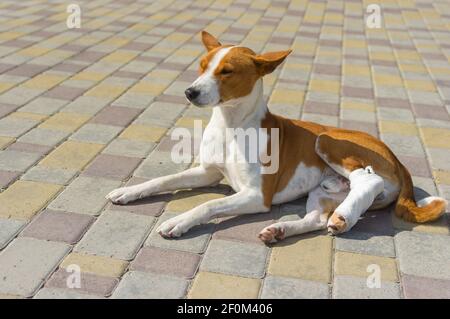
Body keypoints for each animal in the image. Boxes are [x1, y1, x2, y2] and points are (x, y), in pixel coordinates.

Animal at [106, 31, 446, 244]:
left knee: (368, 179)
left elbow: (208, 206)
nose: (190, 92)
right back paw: (288, 228)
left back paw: (341, 217)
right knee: (317, 219)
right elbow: (162, 181)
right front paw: (129, 191)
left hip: (327, 141)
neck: (231, 126)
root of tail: (396, 158)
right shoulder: (208, 172)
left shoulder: (257, 196)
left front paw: (179, 221)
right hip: (325, 190)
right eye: (202, 66)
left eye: (226, 71)